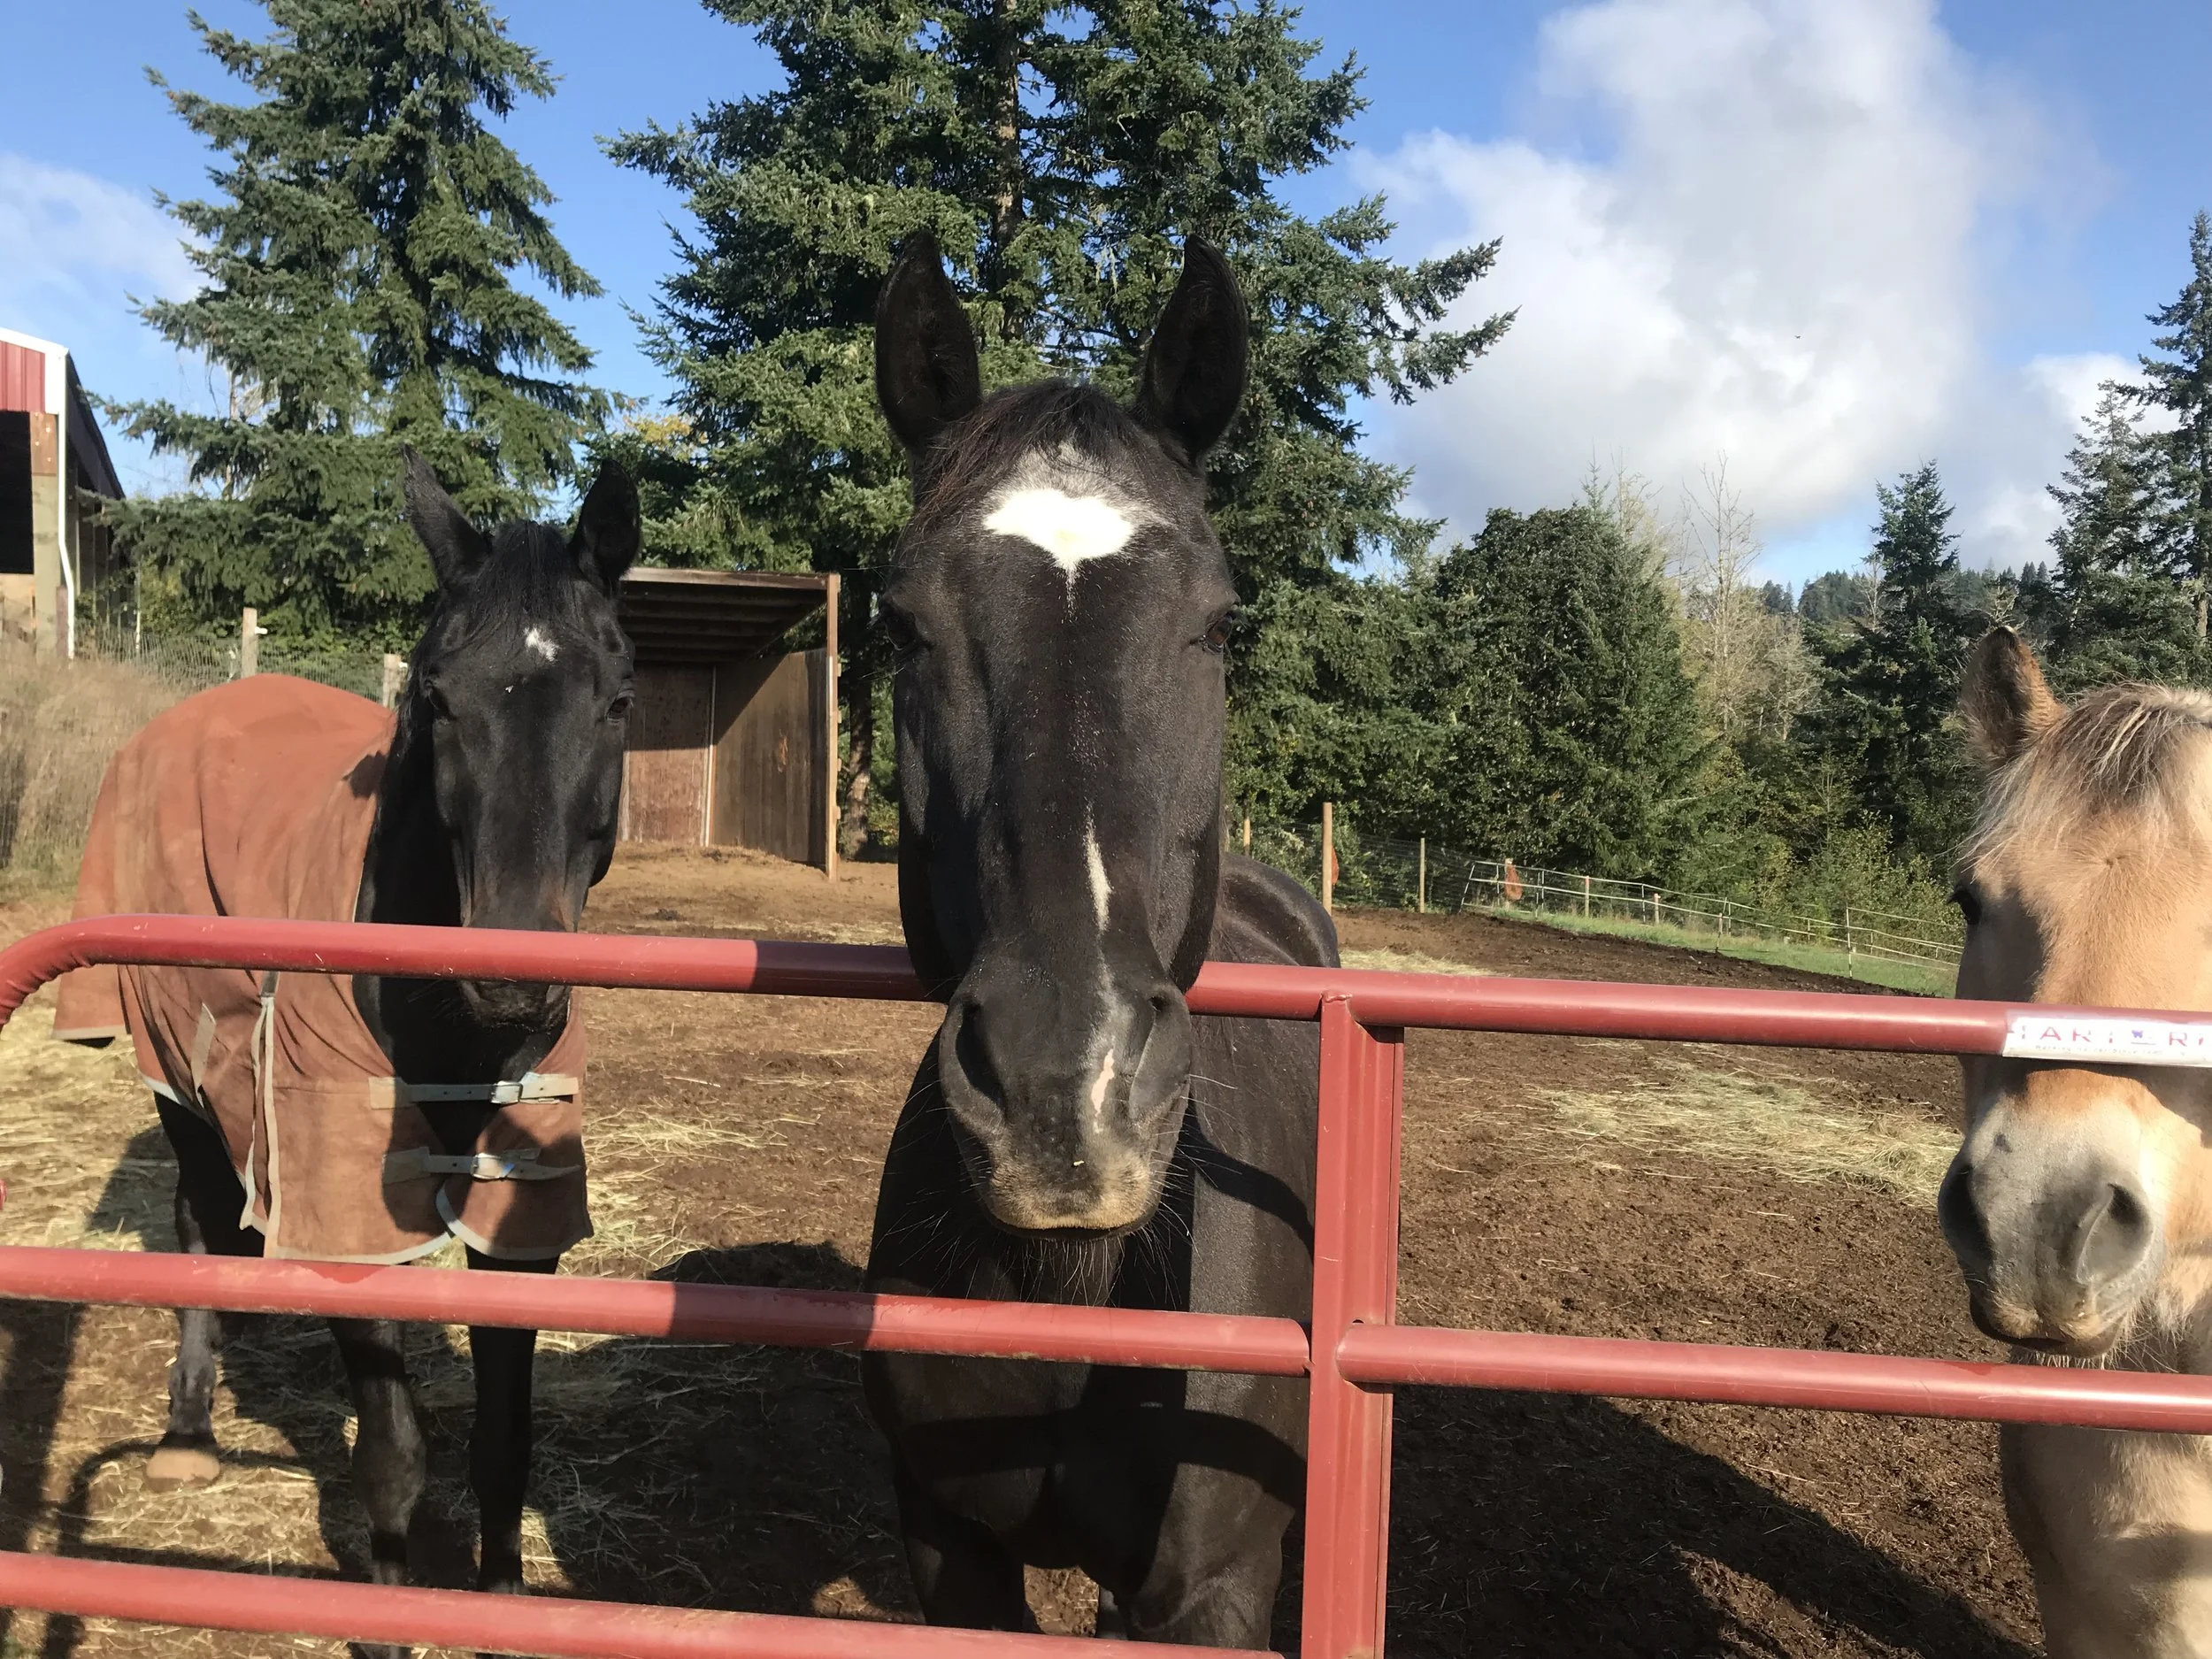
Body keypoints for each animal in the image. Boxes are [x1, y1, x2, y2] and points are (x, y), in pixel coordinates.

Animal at [53, 453, 636, 1644]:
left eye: (616, 699)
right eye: (437, 699)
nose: (511, 979)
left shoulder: (524, 1215)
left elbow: (504, 1446)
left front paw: (502, 1614)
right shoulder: (351, 1215)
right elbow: (395, 1456)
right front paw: (385, 1621)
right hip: (179, 1075)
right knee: (198, 1221)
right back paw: (187, 1439)